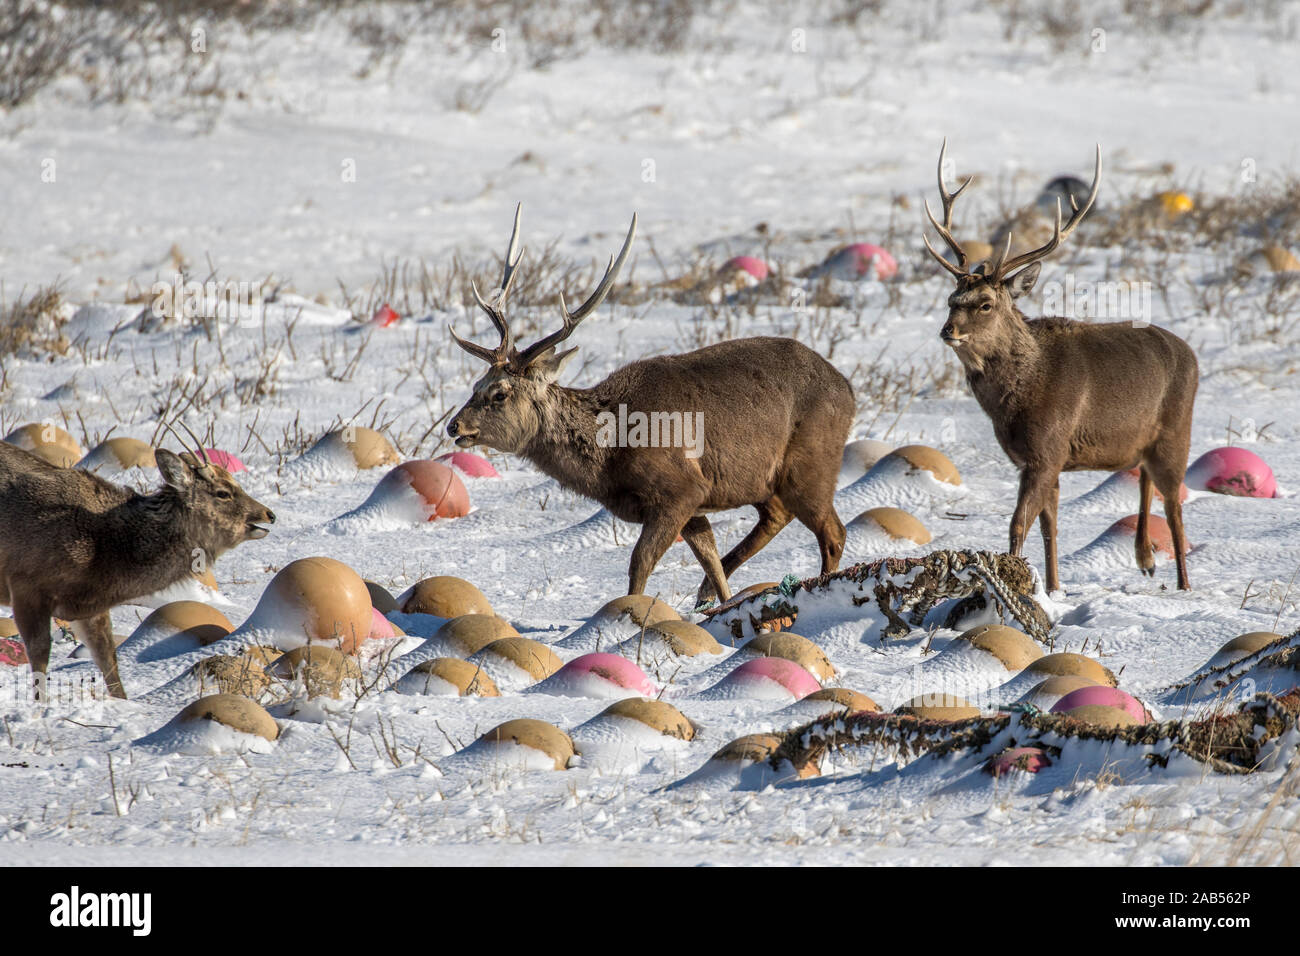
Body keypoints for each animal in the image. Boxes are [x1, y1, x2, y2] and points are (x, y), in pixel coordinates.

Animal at [0, 429, 274, 697]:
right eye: (223, 492)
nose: (269, 514)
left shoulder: (88, 607)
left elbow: (108, 661)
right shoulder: (26, 584)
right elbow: (40, 657)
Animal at [447, 208, 852, 606]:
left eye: (500, 393)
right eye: (475, 384)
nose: (454, 426)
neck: (611, 452)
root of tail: (848, 390)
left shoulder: (681, 489)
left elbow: (639, 562)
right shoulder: (695, 503)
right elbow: (709, 560)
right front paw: (716, 600)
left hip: (812, 464)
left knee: (833, 533)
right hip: (765, 480)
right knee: (778, 516)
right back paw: (708, 594)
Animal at [925, 141, 1196, 590]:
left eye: (985, 304)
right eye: (951, 300)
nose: (949, 331)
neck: (1016, 399)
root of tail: (1190, 353)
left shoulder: (1047, 450)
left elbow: (1018, 524)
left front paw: (1017, 582)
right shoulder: (1039, 460)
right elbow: (1049, 524)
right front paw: (1053, 587)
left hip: (1177, 431)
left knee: (1174, 505)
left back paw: (1183, 586)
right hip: (1145, 441)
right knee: (1144, 478)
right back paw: (1144, 559)